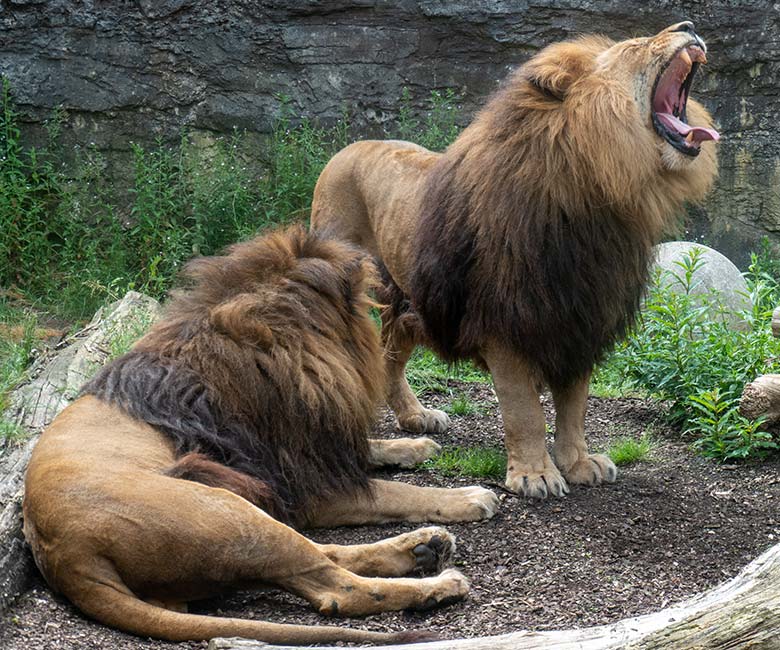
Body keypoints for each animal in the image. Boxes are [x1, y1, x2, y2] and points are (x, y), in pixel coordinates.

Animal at [24, 224, 502, 644]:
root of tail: (67, 557)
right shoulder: (304, 486)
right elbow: (395, 493)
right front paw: (467, 496)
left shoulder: (311, 449)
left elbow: (372, 451)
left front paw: (415, 445)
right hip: (229, 513)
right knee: (337, 589)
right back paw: (437, 583)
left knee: (324, 554)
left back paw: (424, 548)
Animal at [310, 20, 720, 496]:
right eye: (635, 45)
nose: (688, 26)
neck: (595, 195)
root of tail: (349, 147)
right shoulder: (503, 318)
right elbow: (525, 410)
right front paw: (534, 474)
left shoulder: (582, 314)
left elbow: (575, 404)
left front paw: (577, 462)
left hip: (413, 301)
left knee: (390, 353)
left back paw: (415, 416)